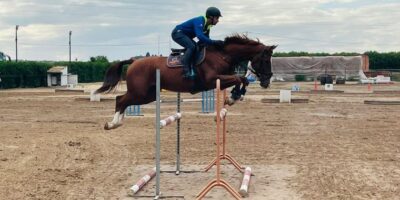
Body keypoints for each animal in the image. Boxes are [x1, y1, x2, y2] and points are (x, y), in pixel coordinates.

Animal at [96, 34, 276, 130]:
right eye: (265, 60)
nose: (266, 81)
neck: (222, 55)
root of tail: (134, 61)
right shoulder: (212, 80)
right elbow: (240, 78)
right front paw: (233, 97)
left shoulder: (221, 79)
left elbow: (242, 79)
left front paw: (235, 96)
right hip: (140, 92)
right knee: (121, 100)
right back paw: (112, 124)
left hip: (147, 95)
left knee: (123, 101)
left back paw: (117, 123)